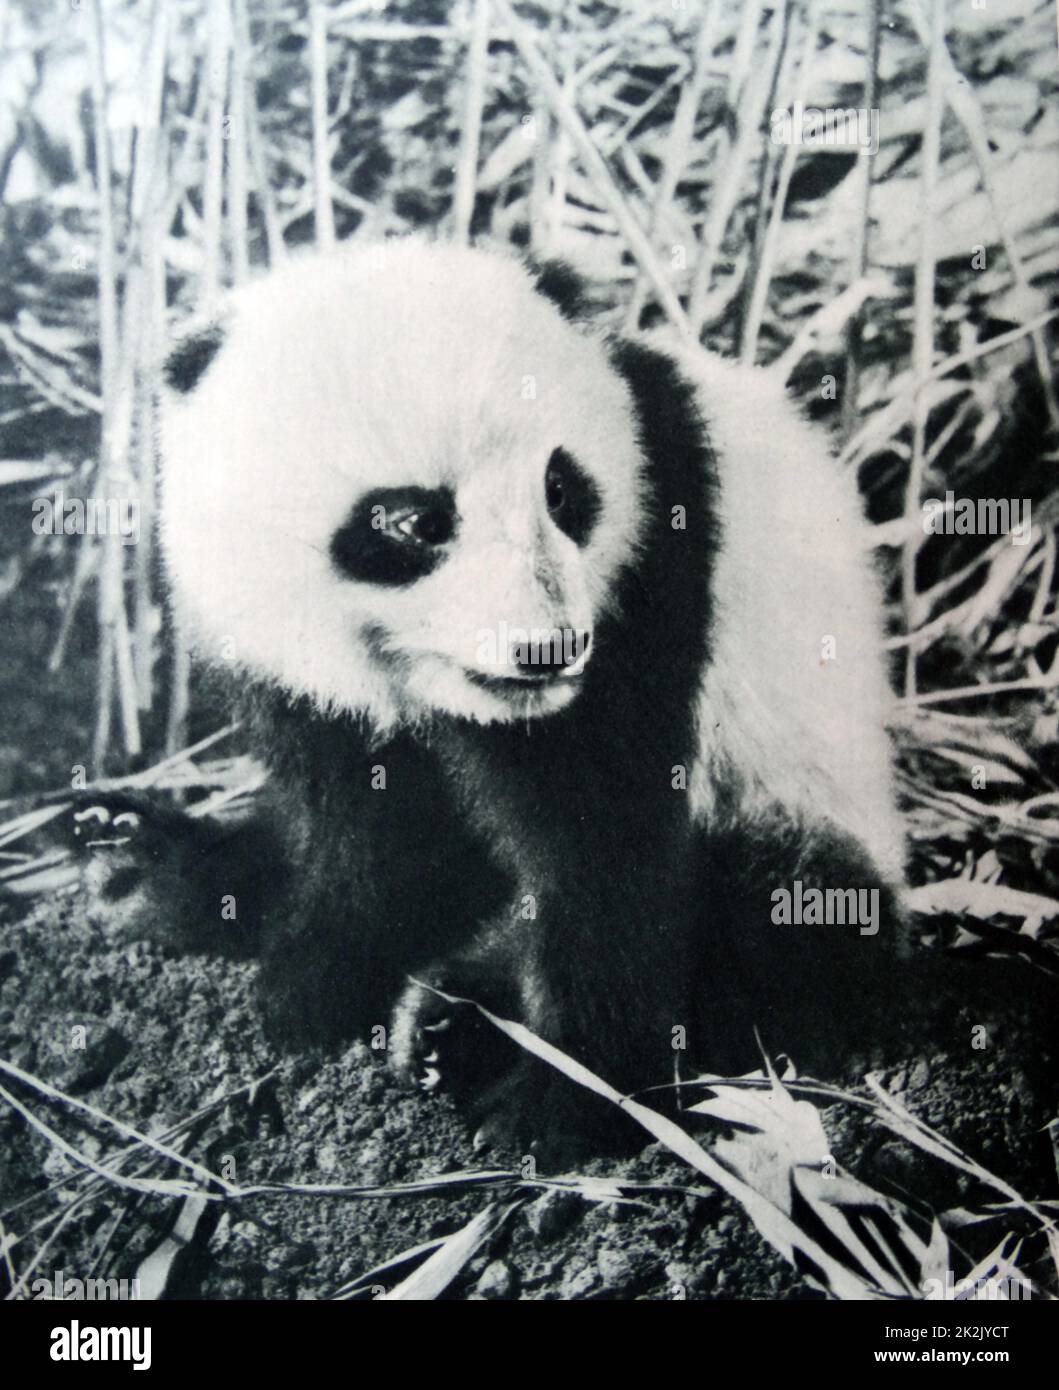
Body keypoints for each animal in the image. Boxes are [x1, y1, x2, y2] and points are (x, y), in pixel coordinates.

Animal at [129, 239, 906, 1145]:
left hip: (796, 800)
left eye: (560, 489)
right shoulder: (293, 662)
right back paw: (140, 860)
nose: (548, 648)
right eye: (417, 521)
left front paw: (567, 1100)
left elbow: (602, 843)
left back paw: (462, 1019)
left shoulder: (650, 568)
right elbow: (363, 825)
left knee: (773, 922)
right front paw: (312, 982)